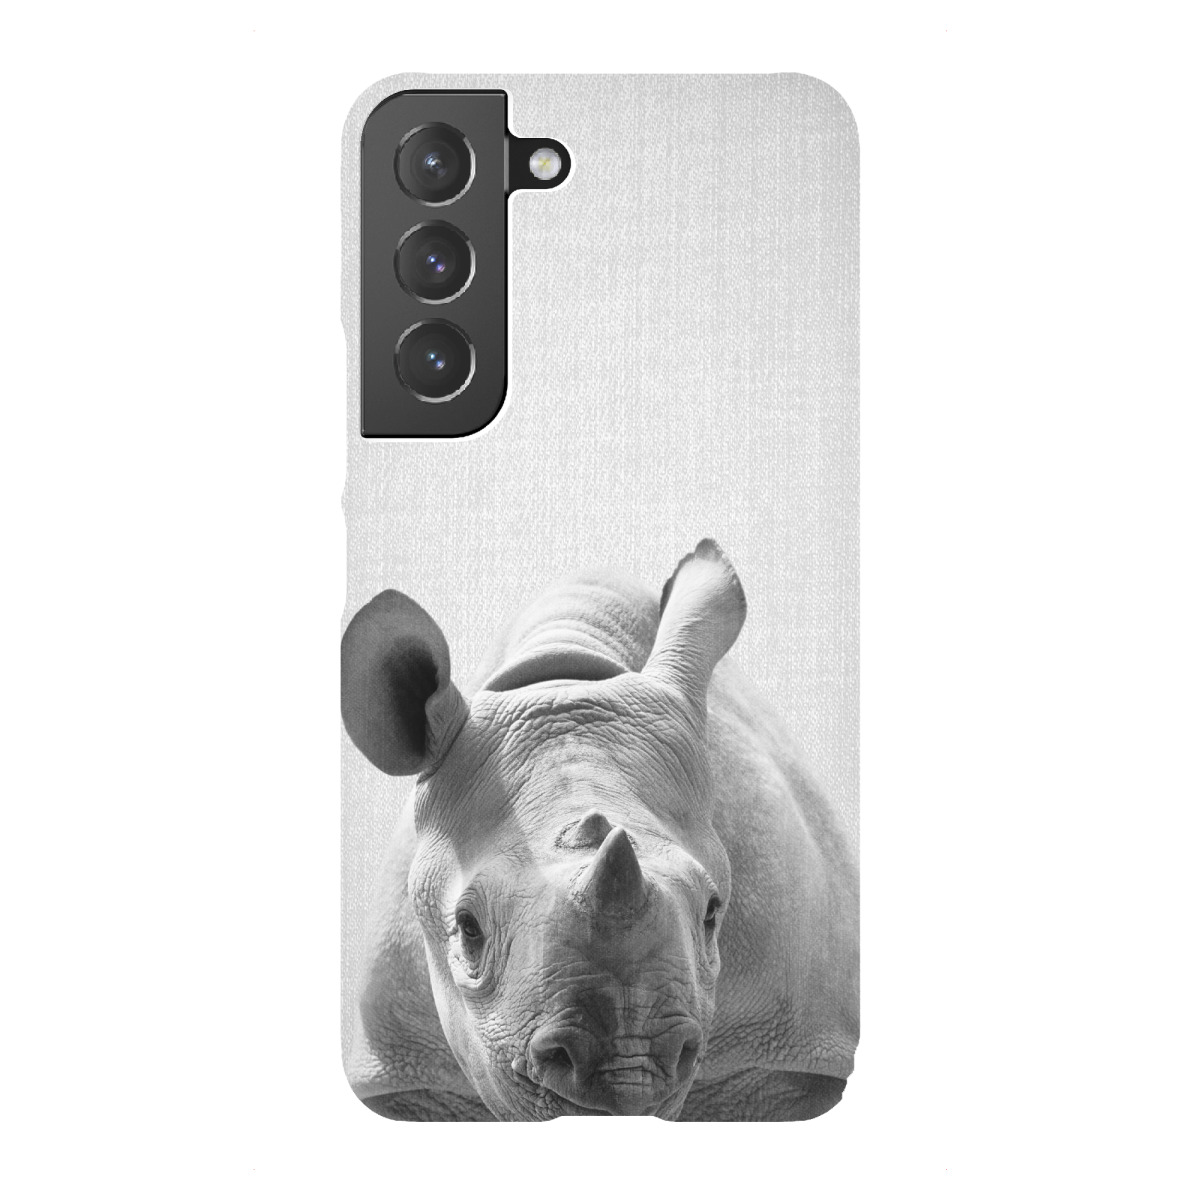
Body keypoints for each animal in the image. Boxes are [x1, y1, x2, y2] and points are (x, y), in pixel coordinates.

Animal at [341, 539, 858, 1120]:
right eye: (468, 928)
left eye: (712, 913)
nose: (629, 1068)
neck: (563, 676)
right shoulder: (409, 1075)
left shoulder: (787, 1055)